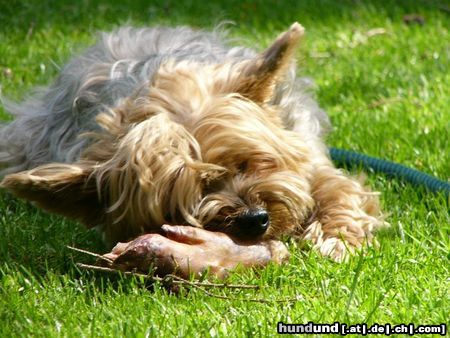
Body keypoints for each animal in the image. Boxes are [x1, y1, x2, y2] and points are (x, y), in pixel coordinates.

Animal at [0, 23, 384, 278]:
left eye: (249, 162)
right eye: (179, 207)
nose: (253, 219)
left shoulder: (309, 154)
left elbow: (337, 189)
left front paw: (336, 239)